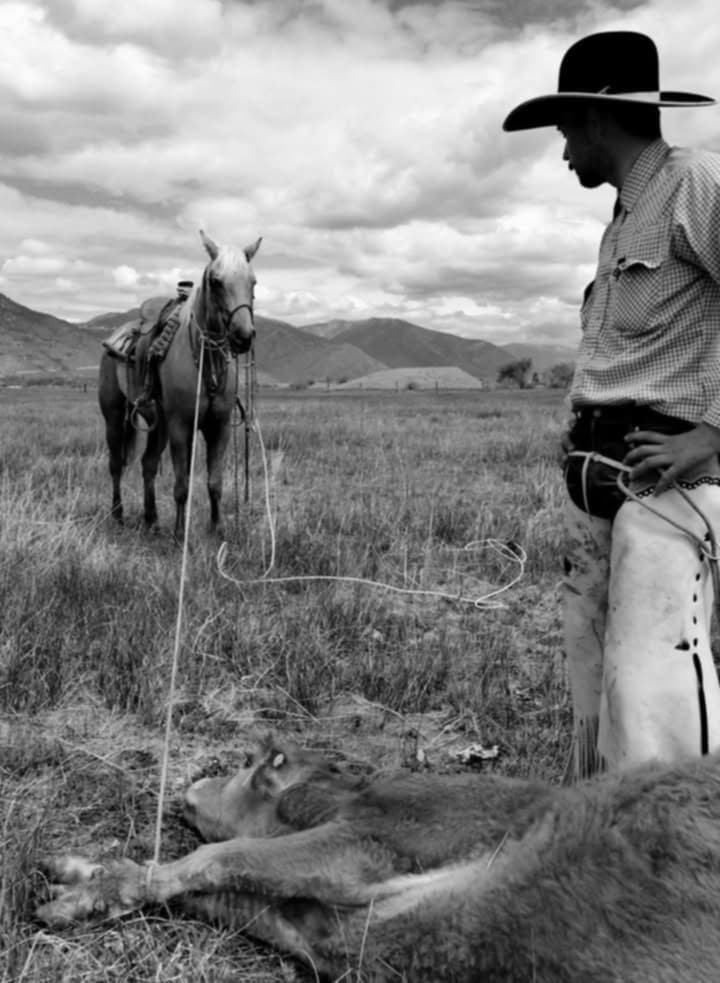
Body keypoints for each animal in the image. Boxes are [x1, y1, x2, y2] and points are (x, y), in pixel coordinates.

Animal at [37, 737, 720, 981]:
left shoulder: (370, 841)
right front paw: (85, 879)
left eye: (242, 767)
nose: (190, 784)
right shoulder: (338, 932)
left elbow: (222, 856)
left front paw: (85, 889)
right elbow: (233, 898)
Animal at [98, 231, 261, 540]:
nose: (243, 336)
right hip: (115, 416)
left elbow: (214, 482)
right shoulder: (180, 426)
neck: (207, 361)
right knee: (115, 465)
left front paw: (217, 529)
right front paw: (178, 534)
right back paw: (118, 515)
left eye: (253, 281)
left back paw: (151, 519)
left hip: (158, 424)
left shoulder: (219, 426)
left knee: (148, 464)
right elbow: (182, 484)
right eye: (216, 281)